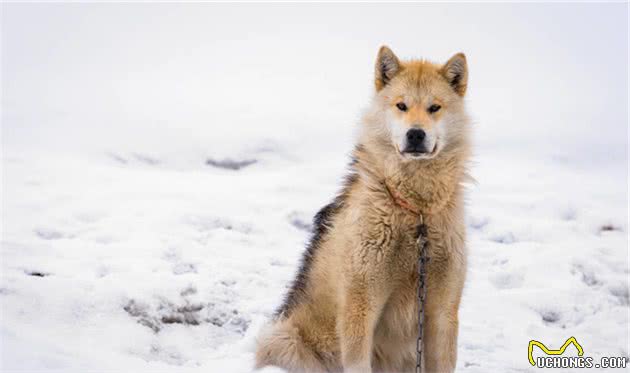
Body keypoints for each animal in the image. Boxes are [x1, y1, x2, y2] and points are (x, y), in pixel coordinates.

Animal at [256, 46, 470, 372]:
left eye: (434, 107)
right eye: (401, 106)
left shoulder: (443, 311)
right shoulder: (359, 306)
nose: (415, 134)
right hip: (284, 340)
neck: (415, 213)